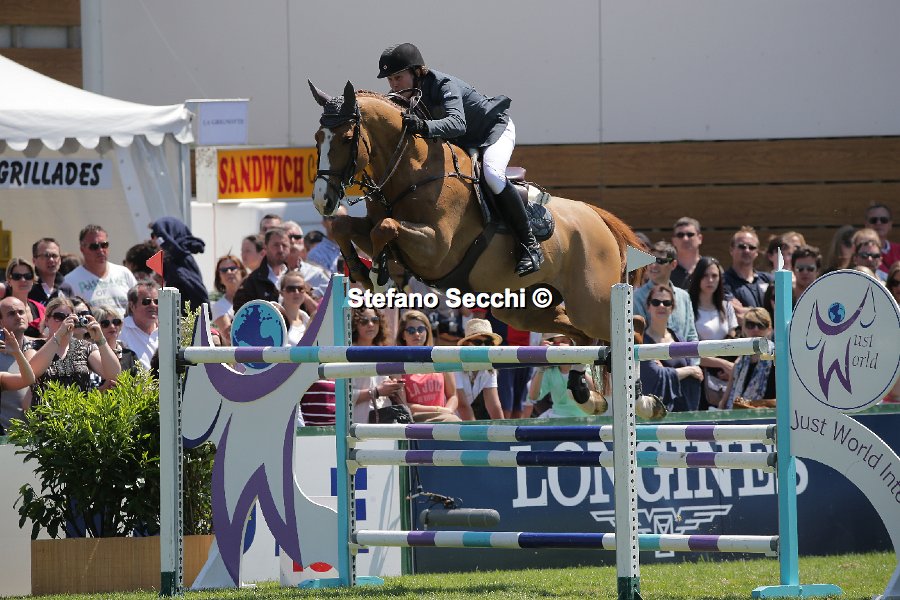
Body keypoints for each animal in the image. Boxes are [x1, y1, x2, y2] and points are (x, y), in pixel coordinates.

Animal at [309, 80, 644, 346]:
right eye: (317, 138)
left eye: (347, 139)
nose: (322, 199)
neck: (411, 171)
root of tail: (597, 217)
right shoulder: (379, 230)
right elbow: (345, 226)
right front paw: (360, 271)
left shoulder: (436, 248)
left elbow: (387, 227)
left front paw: (379, 274)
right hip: (524, 309)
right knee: (582, 334)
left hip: (593, 302)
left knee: (628, 332)